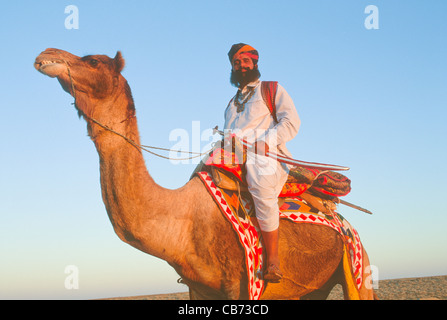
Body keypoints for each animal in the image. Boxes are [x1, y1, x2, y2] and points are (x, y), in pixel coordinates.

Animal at [36, 48, 378, 300]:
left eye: (92, 61)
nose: (46, 55)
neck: (183, 221)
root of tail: (342, 219)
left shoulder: (242, 284)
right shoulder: (197, 289)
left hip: (357, 266)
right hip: (311, 287)